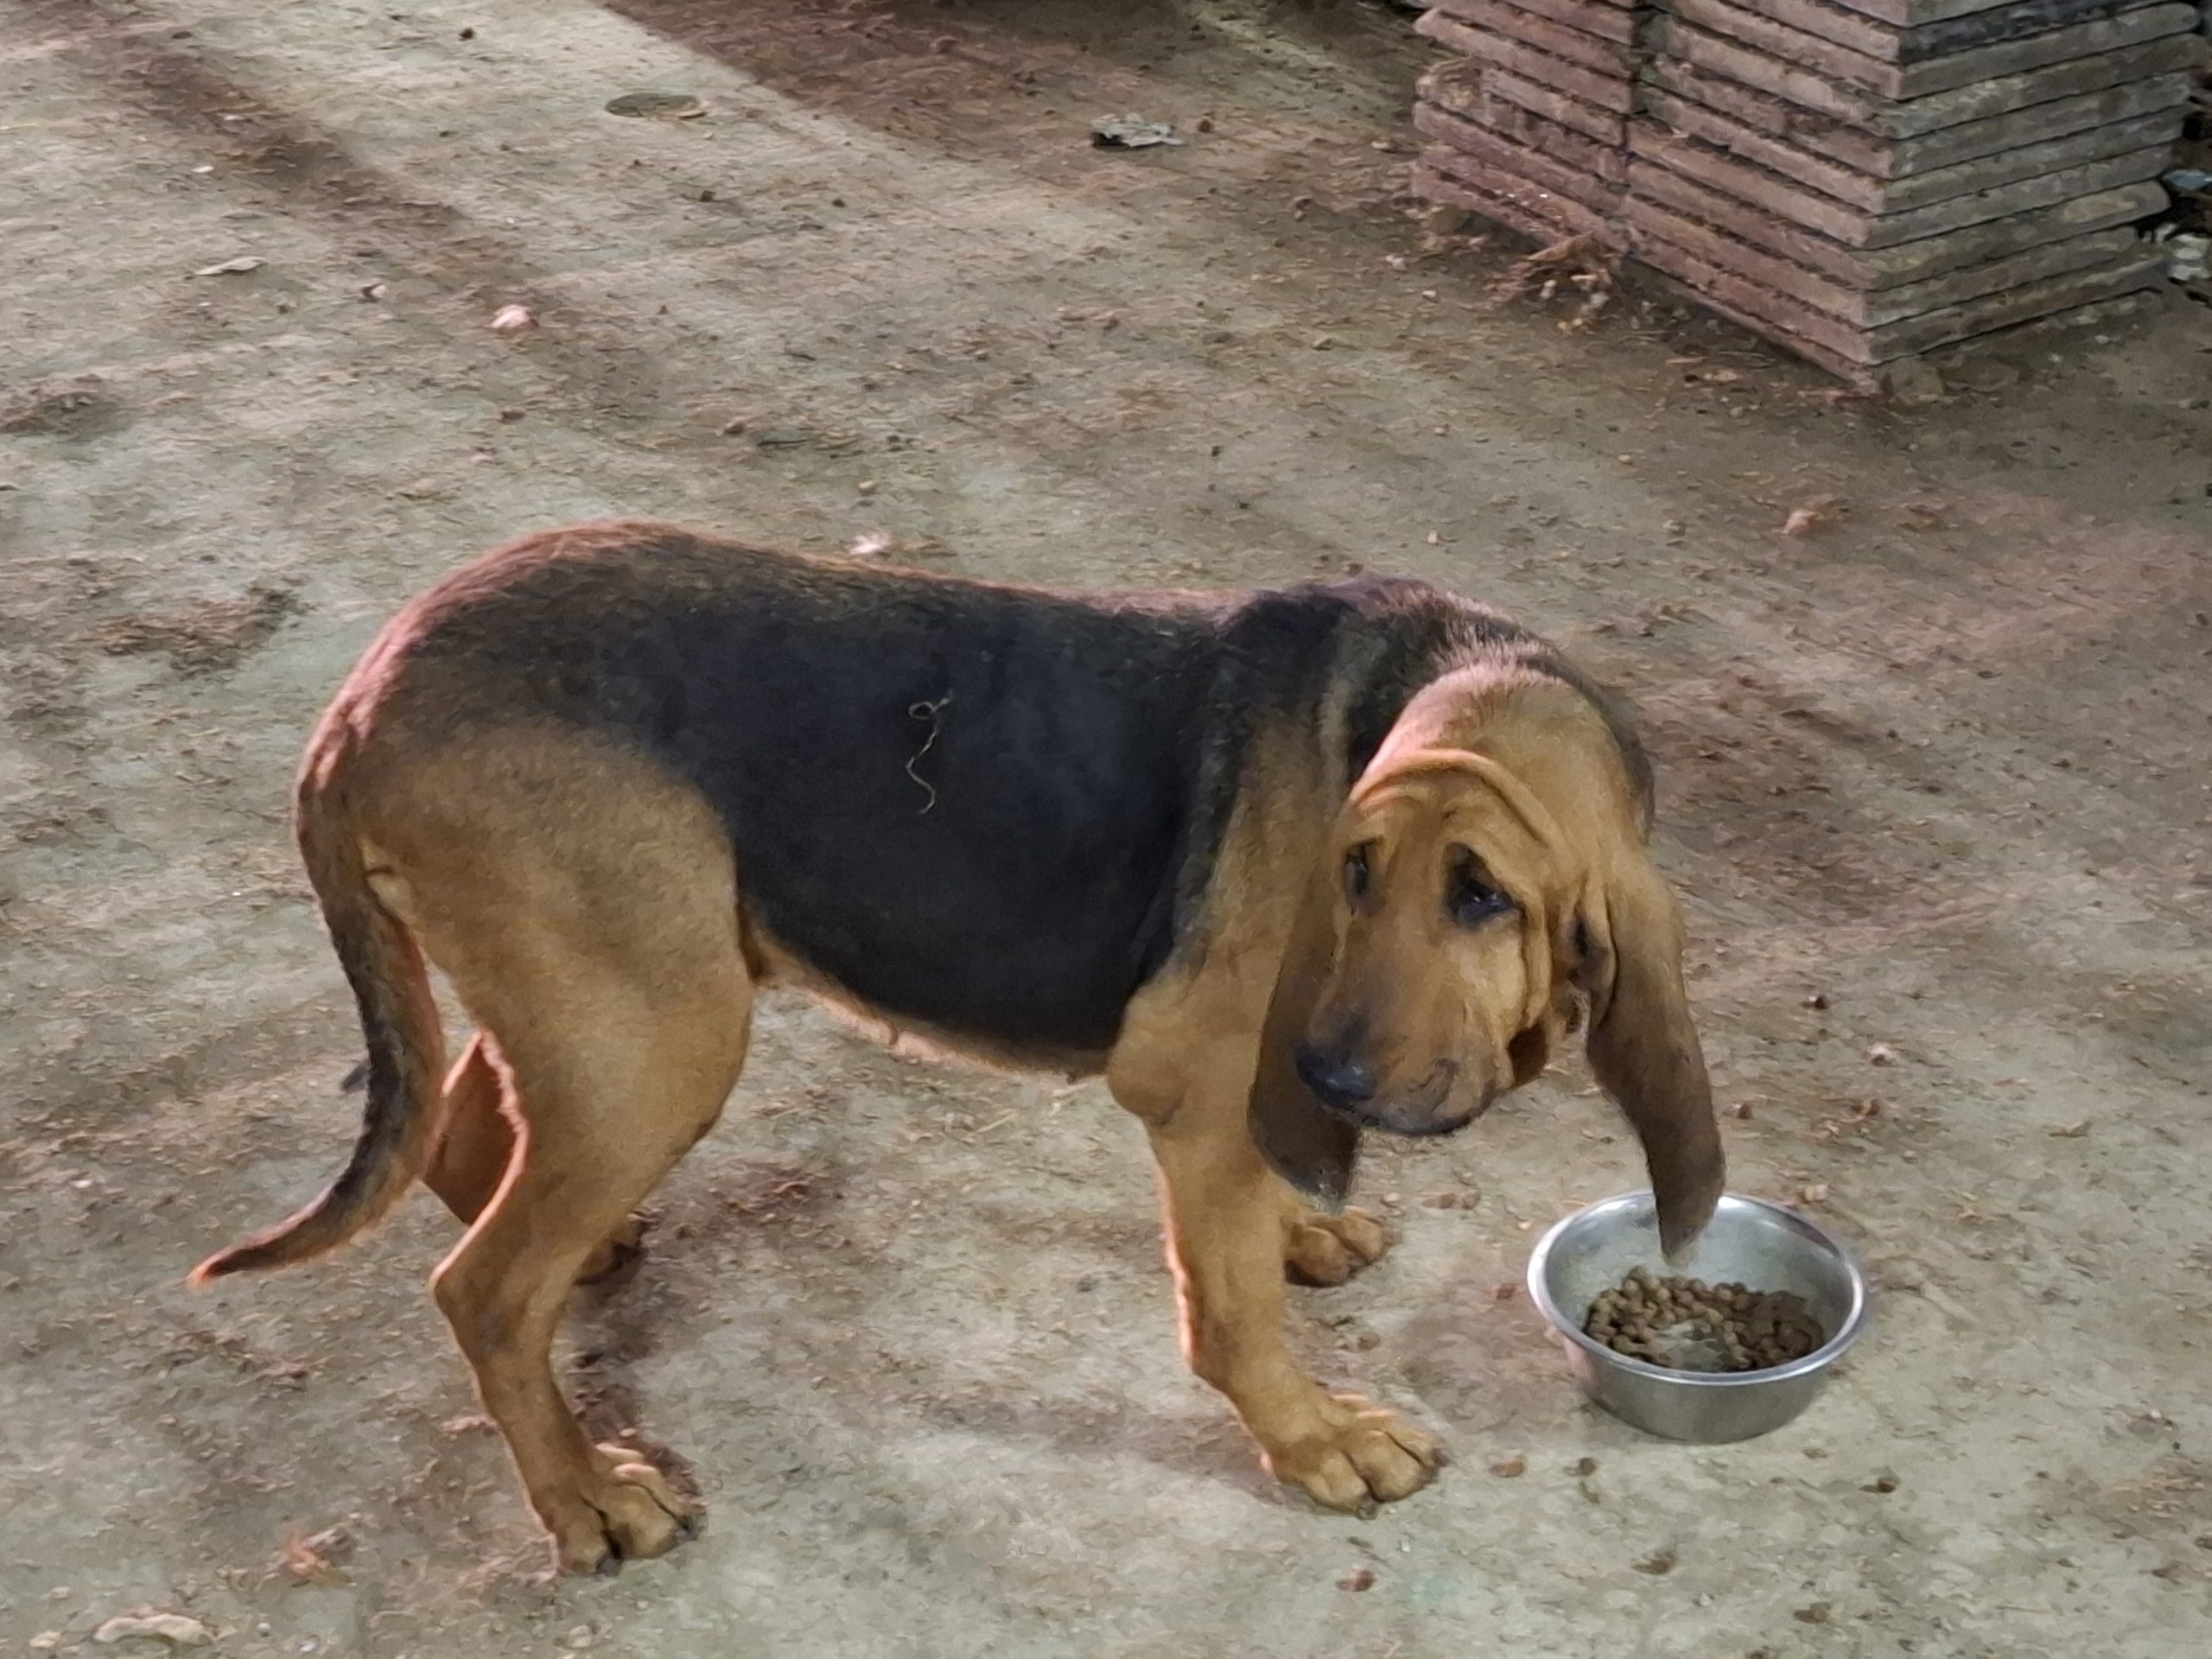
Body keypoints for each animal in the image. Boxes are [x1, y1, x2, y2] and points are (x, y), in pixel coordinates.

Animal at [193, 522, 1724, 1574]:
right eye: (1352, 874)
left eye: (1483, 896)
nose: (1331, 1083)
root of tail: (362, 699)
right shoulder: (1193, 1085)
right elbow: (1231, 1308)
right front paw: (1313, 1439)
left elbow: (1252, 1227)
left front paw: (1303, 1228)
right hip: (666, 1038)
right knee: (482, 1291)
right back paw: (585, 1494)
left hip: (618, 1006)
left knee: (468, 1137)